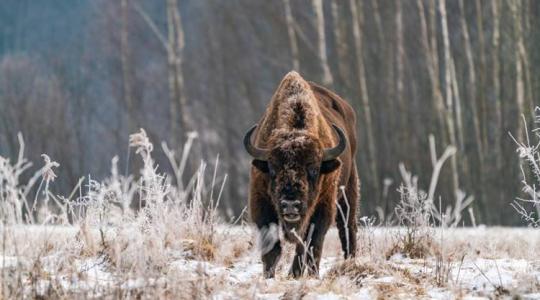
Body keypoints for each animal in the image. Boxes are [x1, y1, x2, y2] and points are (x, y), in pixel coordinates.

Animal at [245, 71, 358, 278]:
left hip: (348, 191)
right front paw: (270, 276)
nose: (291, 205)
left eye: (313, 169)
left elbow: (312, 244)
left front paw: (309, 275)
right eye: (272, 168)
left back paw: (350, 262)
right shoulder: (261, 204)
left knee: (347, 228)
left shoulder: (323, 207)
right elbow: (273, 247)